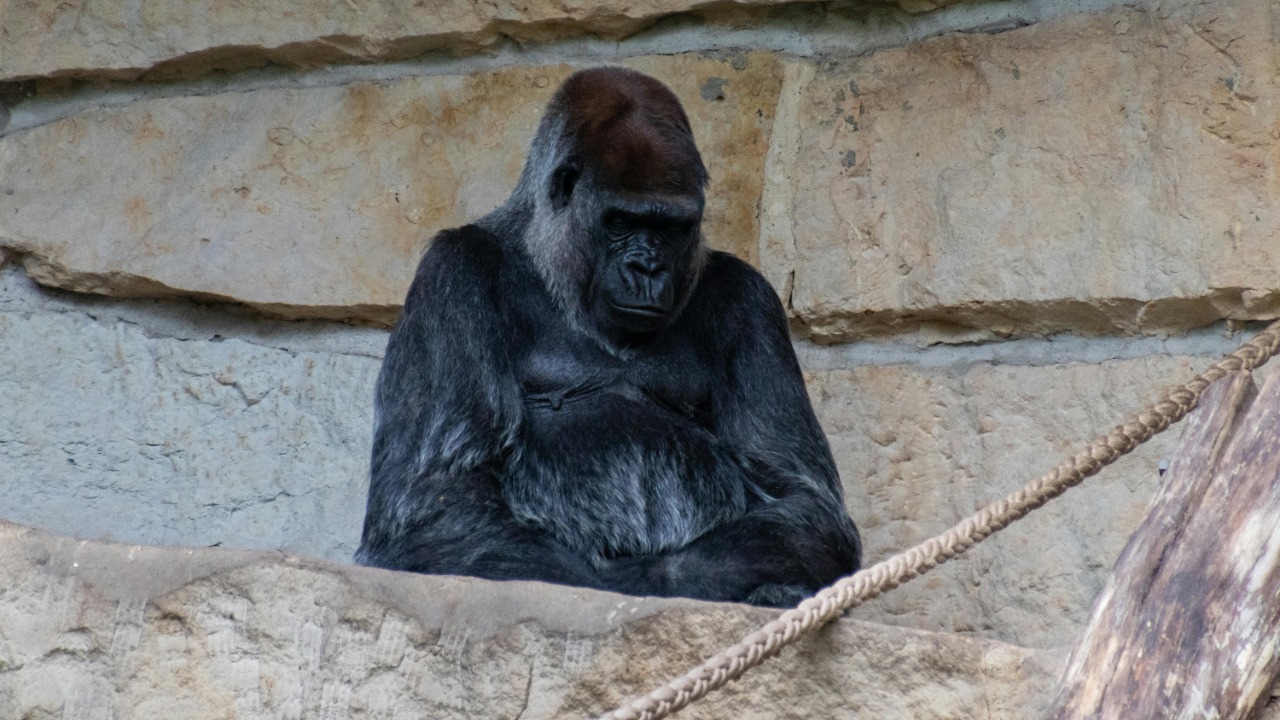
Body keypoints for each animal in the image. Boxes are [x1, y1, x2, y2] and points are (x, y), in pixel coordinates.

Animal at [356, 67, 861, 607]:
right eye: (621, 222)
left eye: (671, 227)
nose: (648, 268)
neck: (546, 255)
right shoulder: (450, 274)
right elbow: (431, 496)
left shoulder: (753, 300)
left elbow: (805, 499)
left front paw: (657, 580)